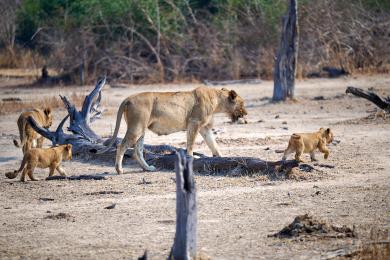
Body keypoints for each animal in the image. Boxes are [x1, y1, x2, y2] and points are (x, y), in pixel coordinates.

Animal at [100, 86, 247, 174]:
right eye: (242, 103)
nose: (246, 113)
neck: (217, 101)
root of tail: (128, 98)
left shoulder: (204, 128)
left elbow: (213, 144)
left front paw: (221, 157)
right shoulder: (194, 123)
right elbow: (191, 143)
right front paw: (191, 157)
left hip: (141, 129)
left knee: (138, 151)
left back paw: (148, 168)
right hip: (136, 127)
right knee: (121, 145)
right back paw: (119, 170)